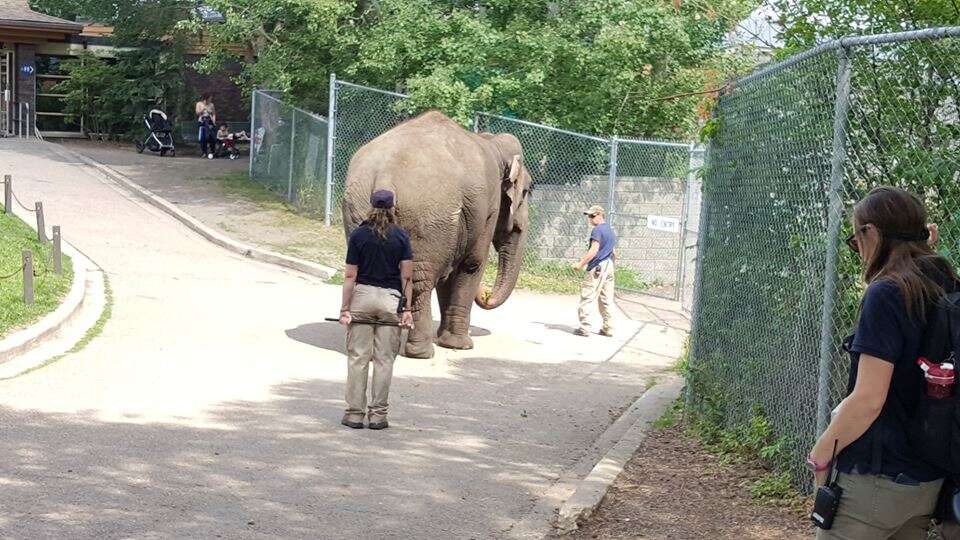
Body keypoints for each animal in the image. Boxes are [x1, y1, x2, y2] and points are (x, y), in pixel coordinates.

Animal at [342, 109, 532, 358]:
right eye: (528, 191)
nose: (486, 294)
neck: (492, 142)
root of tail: (385, 174)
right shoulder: (487, 209)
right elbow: (470, 264)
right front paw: (460, 345)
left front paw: (446, 339)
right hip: (427, 216)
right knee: (418, 280)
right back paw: (421, 352)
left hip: (357, 206)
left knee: (361, 273)